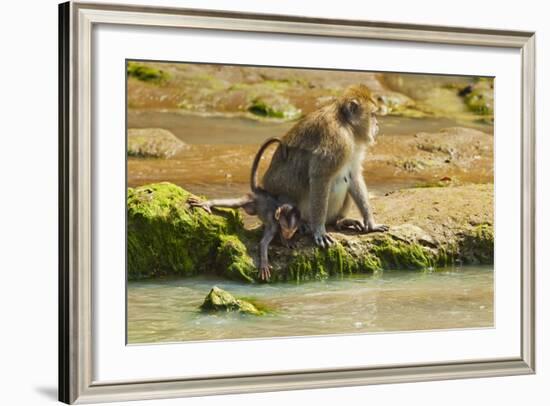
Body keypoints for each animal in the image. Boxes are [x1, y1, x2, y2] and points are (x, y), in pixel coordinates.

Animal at [190, 138, 302, 280]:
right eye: (285, 227)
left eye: (292, 230)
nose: (288, 234)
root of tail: (259, 191)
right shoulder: (274, 224)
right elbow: (263, 243)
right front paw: (264, 263)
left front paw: (286, 240)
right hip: (250, 199)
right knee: (235, 203)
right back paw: (208, 203)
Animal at [262, 85, 388, 247]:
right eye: (372, 114)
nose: (377, 125)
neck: (347, 125)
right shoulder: (337, 139)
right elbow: (320, 177)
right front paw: (319, 230)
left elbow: (354, 175)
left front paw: (371, 224)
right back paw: (303, 224)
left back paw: (339, 221)